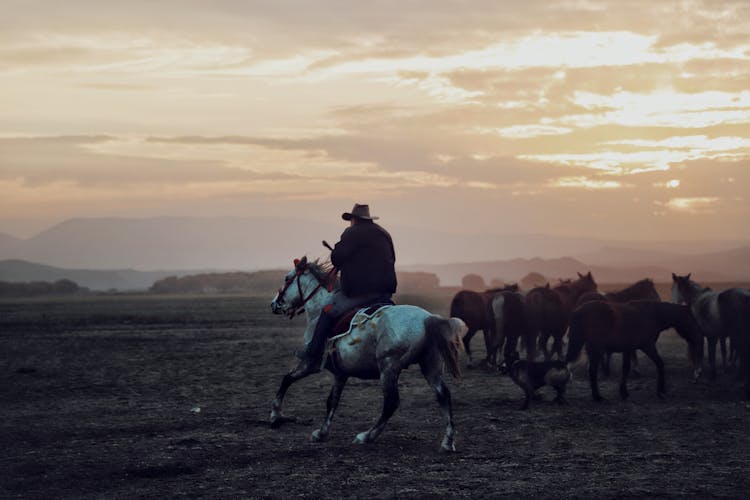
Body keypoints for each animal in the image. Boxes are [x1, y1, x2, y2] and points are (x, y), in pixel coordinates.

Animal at [270, 258, 470, 450]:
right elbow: (332, 401)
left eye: (287, 278)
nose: (273, 304)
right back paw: (447, 441)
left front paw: (275, 416)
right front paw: (322, 433)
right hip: (430, 366)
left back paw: (366, 436)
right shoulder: (340, 374)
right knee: (443, 395)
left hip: (388, 368)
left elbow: (287, 379)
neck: (320, 307)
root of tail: (427, 319)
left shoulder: (310, 364)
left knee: (391, 403)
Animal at [568, 300, 708, 402]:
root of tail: (578, 311)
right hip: (596, 349)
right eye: (691, 318)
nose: (700, 334)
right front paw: (661, 391)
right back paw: (597, 397)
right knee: (592, 371)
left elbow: (626, 368)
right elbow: (660, 364)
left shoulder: (628, 349)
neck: (653, 315)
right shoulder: (648, 346)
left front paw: (624, 392)